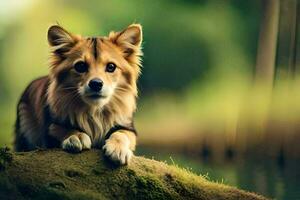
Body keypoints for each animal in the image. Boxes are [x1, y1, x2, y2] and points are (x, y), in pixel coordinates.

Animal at [14, 23, 144, 164]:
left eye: (111, 67)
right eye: (80, 66)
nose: (96, 83)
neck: (94, 111)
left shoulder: (128, 127)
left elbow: (121, 134)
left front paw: (118, 149)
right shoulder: (50, 128)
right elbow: (60, 128)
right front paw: (76, 136)